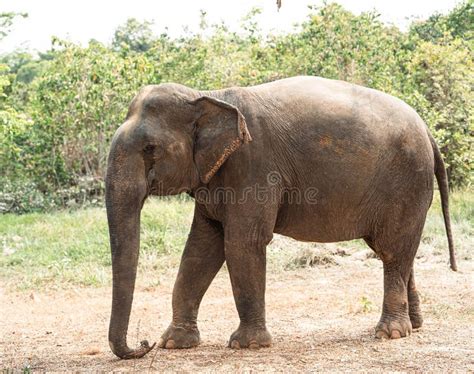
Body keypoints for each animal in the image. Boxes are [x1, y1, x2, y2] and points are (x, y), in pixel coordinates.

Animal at [104, 76, 456, 360]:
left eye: (150, 148)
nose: (143, 344)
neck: (207, 95)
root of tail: (428, 131)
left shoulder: (253, 166)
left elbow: (242, 243)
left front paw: (247, 345)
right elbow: (201, 247)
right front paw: (174, 343)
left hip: (407, 182)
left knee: (393, 251)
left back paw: (389, 333)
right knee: (397, 251)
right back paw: (413, 327)